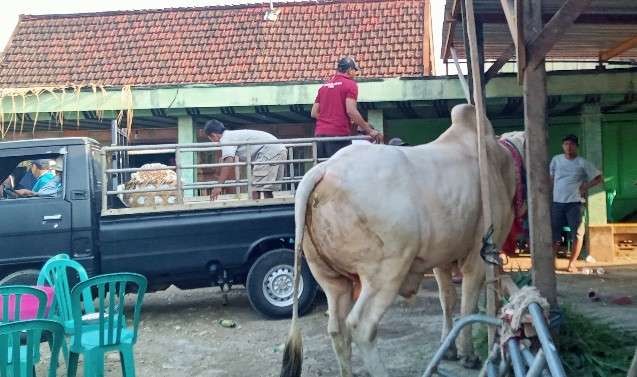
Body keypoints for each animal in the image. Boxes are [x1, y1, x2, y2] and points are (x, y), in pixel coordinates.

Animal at [280, 103, 524, 376]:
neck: (500, 163)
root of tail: (324, 169)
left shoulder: (441, 258)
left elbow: (448, 299)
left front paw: (449, 348)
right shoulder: (478, 255)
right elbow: (469, 304)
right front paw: (468, 355)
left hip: (330, 277)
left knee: (337, 328)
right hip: (386, 271)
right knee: (361, 327)